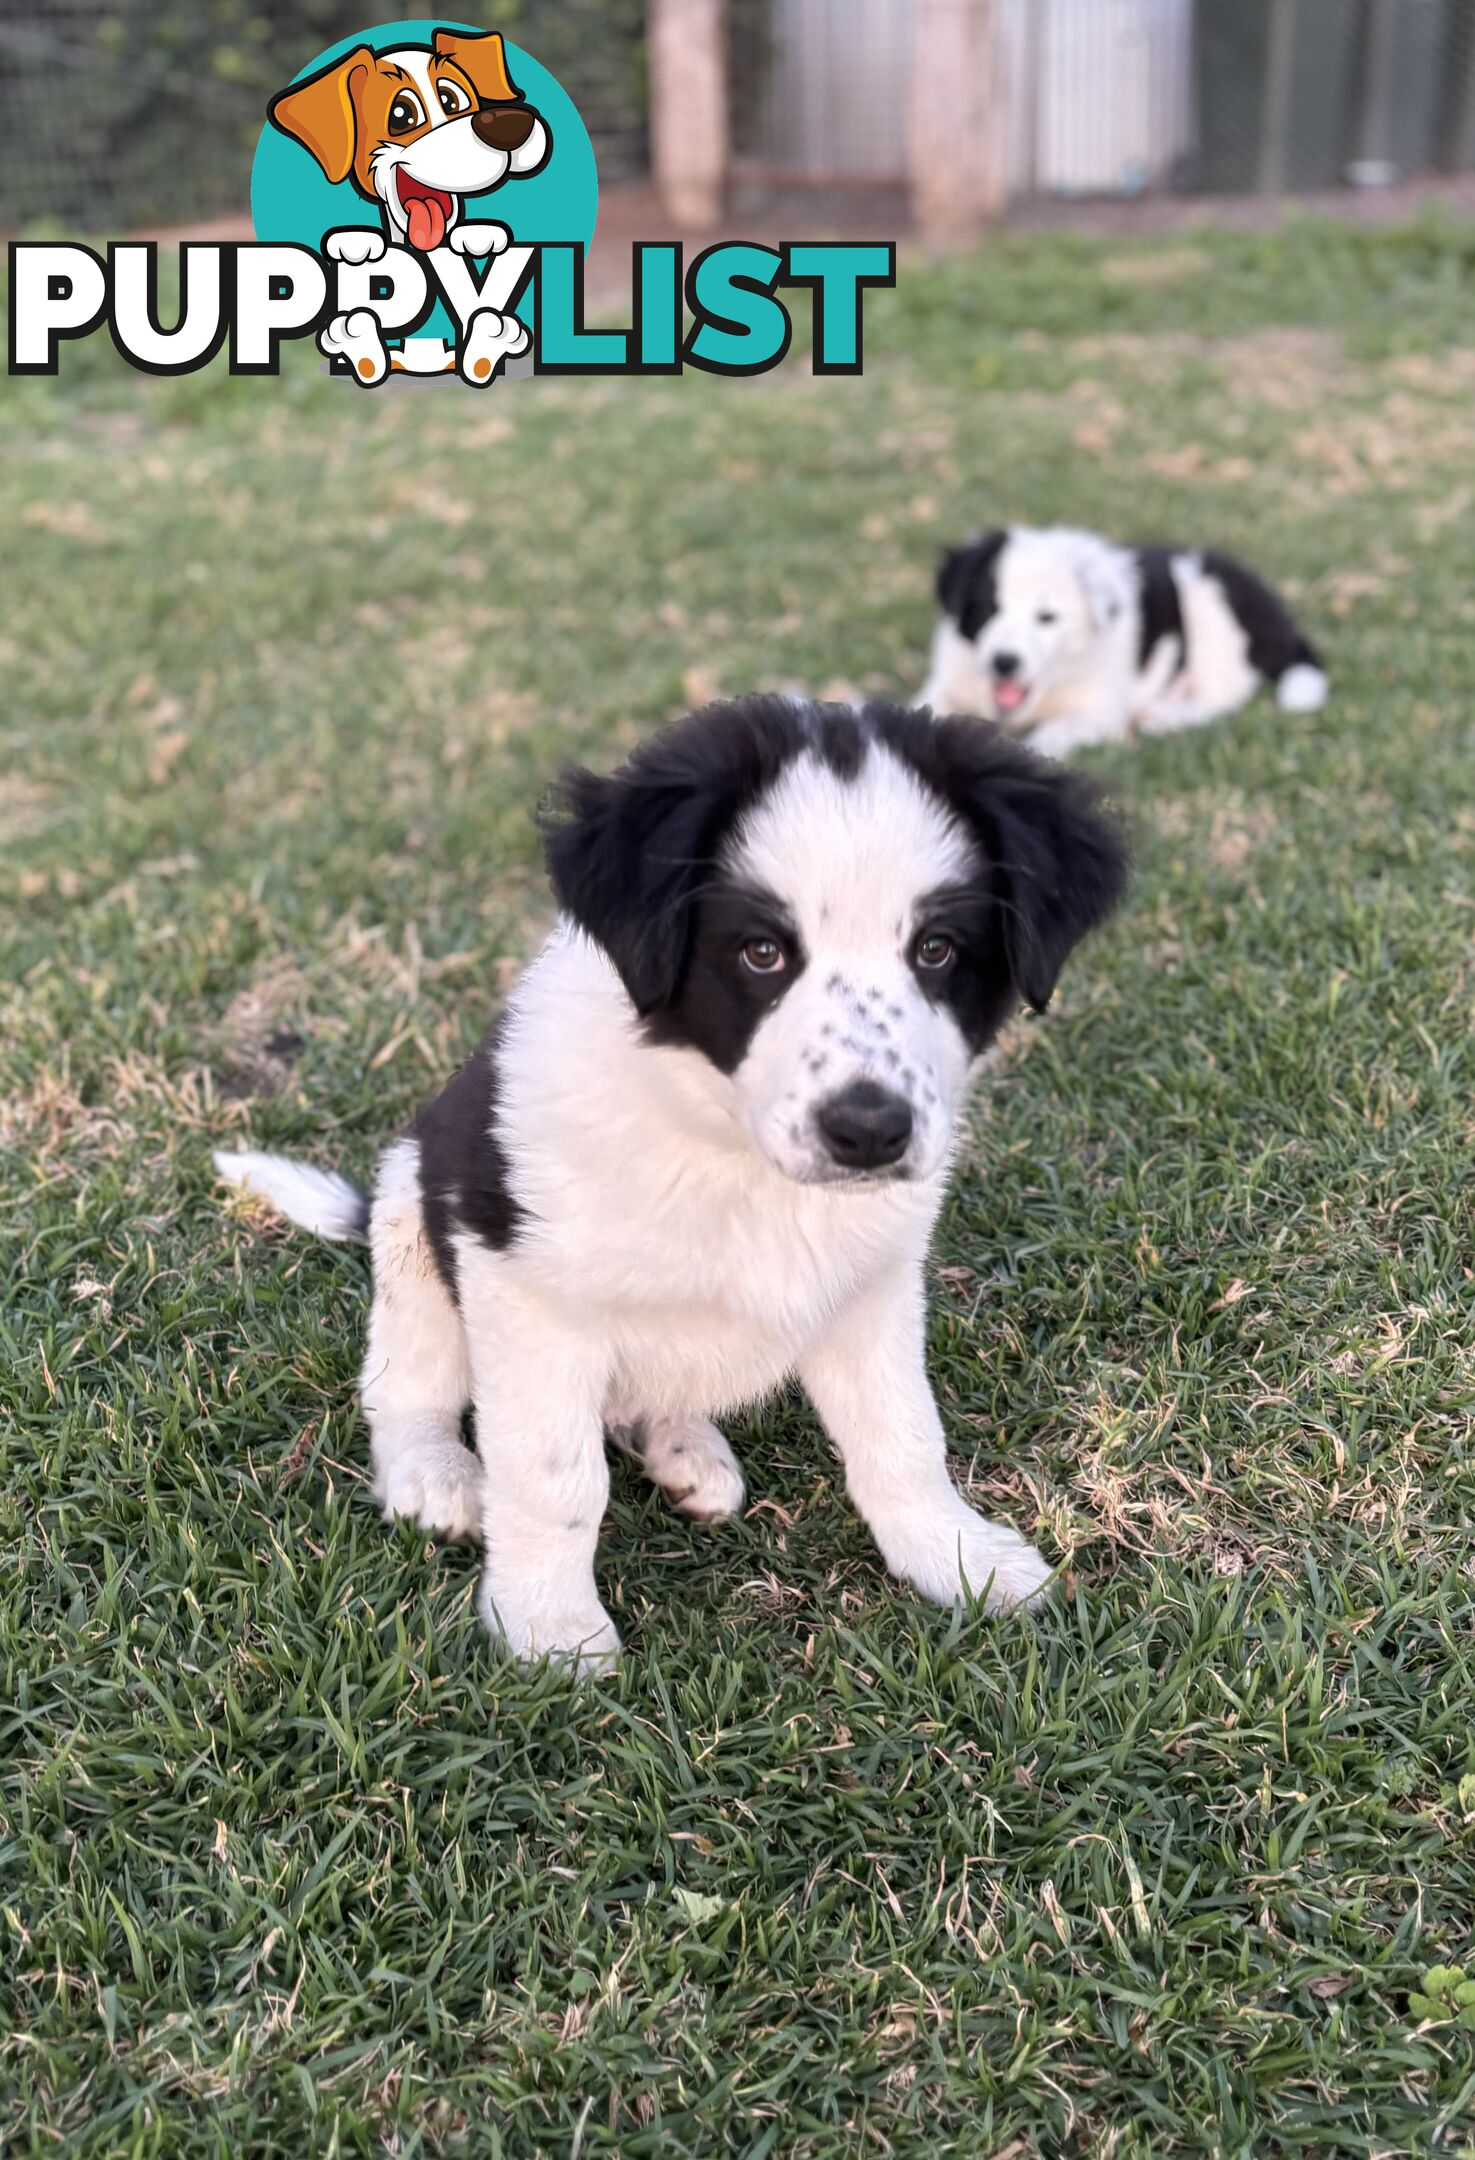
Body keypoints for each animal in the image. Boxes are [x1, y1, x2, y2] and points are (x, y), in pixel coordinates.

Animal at [213, 699, 1122, 1676]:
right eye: (760, 953)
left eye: (938, 950)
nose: (869, 1132)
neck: (727, 1147)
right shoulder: (527, 1292)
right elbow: (554, 1475)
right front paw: (548, 1626)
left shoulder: (874, 1285)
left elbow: (903, 1434)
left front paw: (956, 1557)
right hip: (414, 1214)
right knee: (406, 1383)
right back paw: (436, 1473)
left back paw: (686, 1448)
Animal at [924, 522, 1330, 760]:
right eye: (986, 610)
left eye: (1047, 618)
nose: (1004, 662)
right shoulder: (945, 686)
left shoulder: (1097, 711)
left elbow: (1050, 733)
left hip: (1208, 604)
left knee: (1221, 697)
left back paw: (1162, 717)